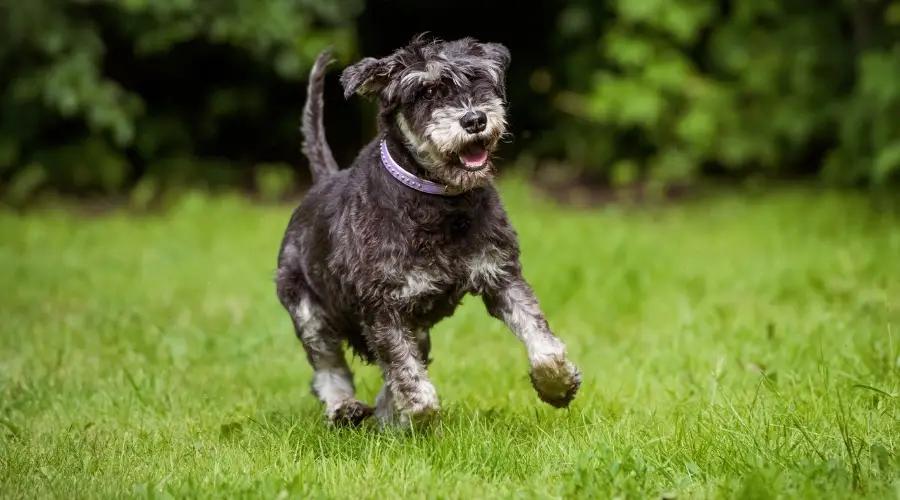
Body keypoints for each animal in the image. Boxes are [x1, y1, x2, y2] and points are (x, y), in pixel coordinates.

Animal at [276, 35, 584, 428]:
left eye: (478, 78)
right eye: (425, 92)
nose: (474, 119)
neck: (437, 203)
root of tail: (322, 180)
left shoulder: (501, 277)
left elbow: (541, 340)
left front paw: (558, 386)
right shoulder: (383, 307)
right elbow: (406, 375)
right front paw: (415, 415)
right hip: (308, 312)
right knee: (328, 366)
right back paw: (345, 407)